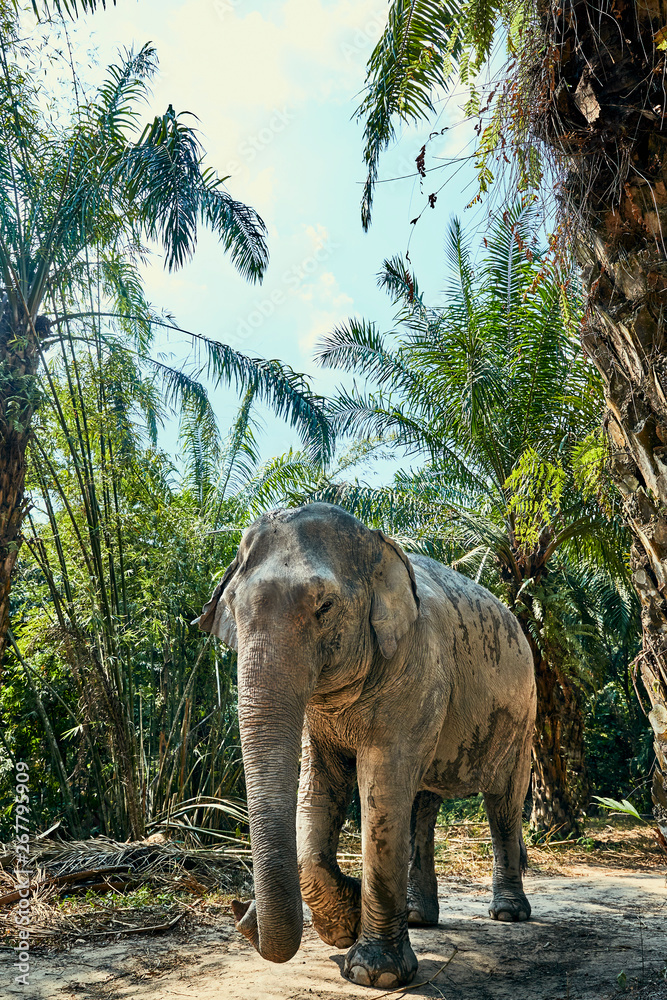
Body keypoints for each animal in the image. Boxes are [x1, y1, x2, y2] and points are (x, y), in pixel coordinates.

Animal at [198, 504, 536, 988]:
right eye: (233, 612)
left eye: (324, 607)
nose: (242, 912)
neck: (379, 548)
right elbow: (320, 787)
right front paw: (344, 927)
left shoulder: (415, 668)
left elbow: (381, 785)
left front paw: (374, 973)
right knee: (422, 804)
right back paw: (416, 916)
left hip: (523, 714)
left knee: (503, 801)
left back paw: (507, 914)